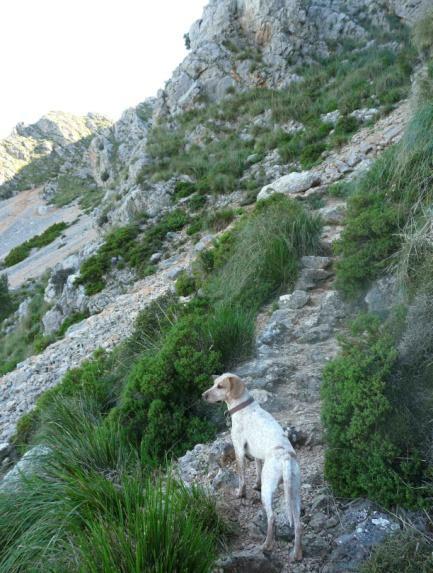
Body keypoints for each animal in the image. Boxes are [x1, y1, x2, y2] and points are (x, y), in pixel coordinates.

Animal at [202, 370, 300, 560]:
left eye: (220, 386)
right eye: (214, 383)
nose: (203, 395)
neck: (242, 407)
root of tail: (285, 457)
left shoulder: (239, 451)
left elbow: (242, 479)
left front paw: (240, 493)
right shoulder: (257, 456)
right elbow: (257, 471)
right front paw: (255, 485)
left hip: (269, 492)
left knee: (272, 519)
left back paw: (267, 546)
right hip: (295, 494)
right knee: (299, 525)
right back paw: (297, 554)